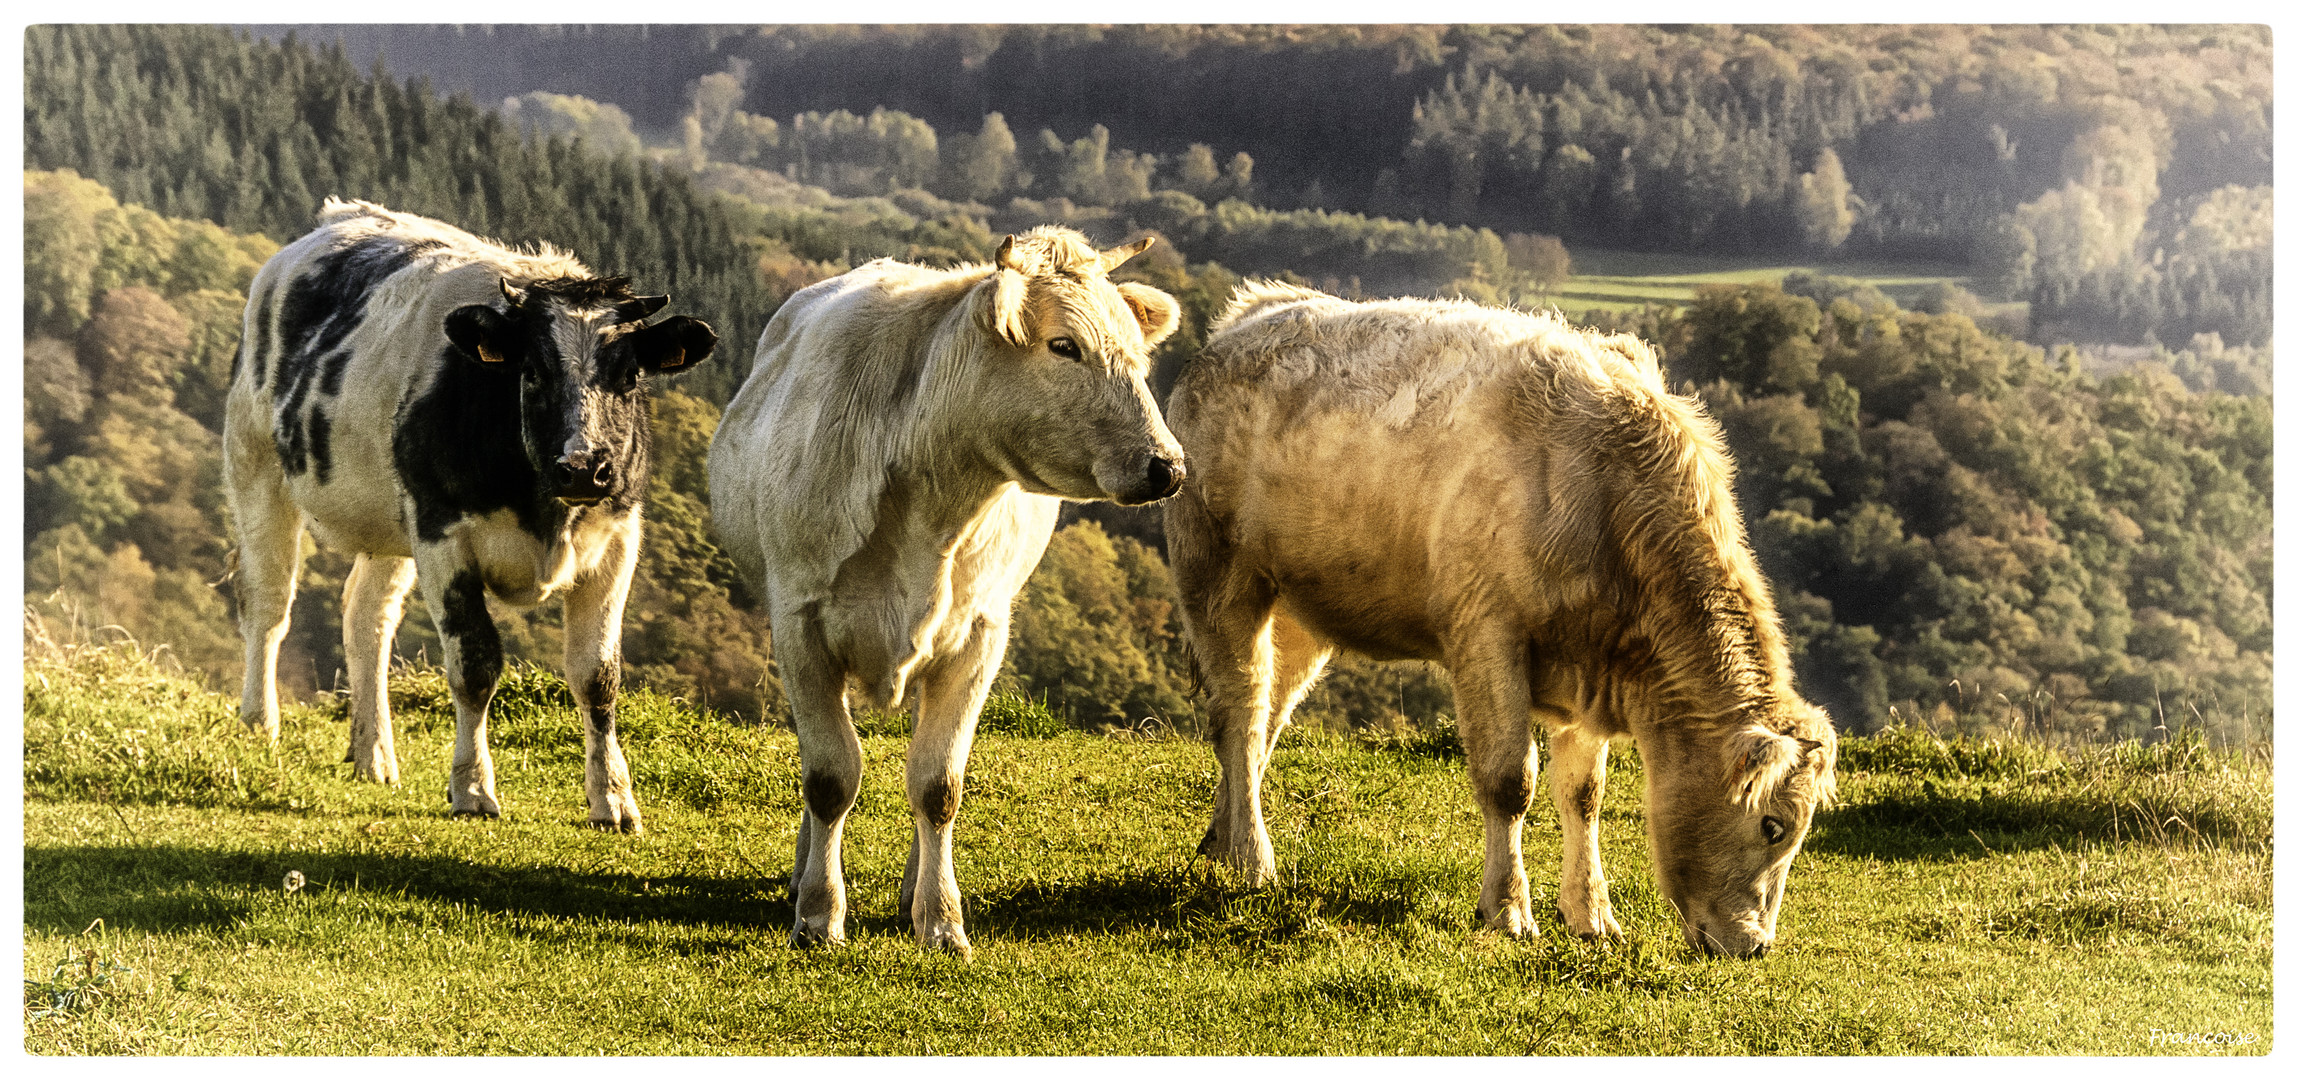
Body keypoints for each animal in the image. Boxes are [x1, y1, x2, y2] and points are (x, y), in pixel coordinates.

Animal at [225, 198, 712, 831]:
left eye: (629, 376)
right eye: (533, 371)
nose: (583, 469)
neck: (543, 510)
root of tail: (340, 217)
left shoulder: (618, 540)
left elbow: (598, 675)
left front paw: (613, 799)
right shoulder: (442, 535)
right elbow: (475, 665)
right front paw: (473, 788)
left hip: (390, 521)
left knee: (366, 617)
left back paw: (373, 753)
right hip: (256, 463)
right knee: (267, 604)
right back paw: (259, 725)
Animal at [712, 225, 1185, 951]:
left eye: (1136, 353)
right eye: (1064, 346)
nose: (1168, 466)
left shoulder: (979, 635)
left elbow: (938, 784)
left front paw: (939, 919)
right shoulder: (799, 623)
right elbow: (828, 776)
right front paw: (818, 914)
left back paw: (913, 889)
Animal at [1157, 282, 1837, 955]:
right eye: (1773, 826)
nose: (1758, 945)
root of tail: (1247, 317)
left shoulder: (1589, 664)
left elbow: (1584, 795)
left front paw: (1591, 915)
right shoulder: (1488, 635)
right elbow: (1511, 782)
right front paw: (1507, 909)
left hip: (1301, 612)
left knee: (1266, 719)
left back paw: (1221, 840)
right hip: (1216, 574)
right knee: (1241, 714)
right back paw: (1252, 859)